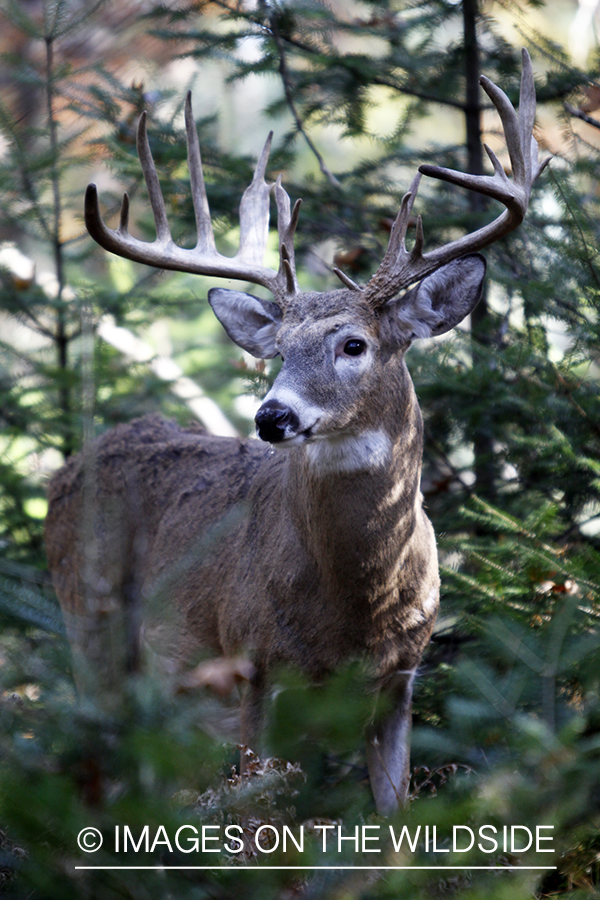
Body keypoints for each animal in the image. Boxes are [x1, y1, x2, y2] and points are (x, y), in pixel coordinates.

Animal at [44, 52, 548, 820]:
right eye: (277, 350)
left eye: (353, 344)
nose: (270, 416)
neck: (356, 610)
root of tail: (65, 472)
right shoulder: (252, 670)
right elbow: (257, 826)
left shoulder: (402, 680)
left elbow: (395, 819)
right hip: (92, 630)